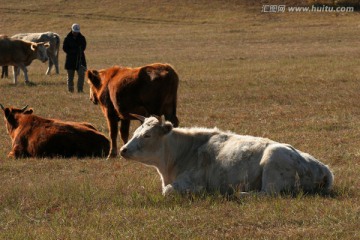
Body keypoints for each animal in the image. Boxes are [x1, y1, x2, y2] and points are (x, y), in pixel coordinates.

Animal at [121, 115, 334, 196]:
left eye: (147, 135)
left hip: (273, 166)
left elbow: (168, 191)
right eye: (136, 131)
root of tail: (323, 169)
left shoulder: (190, 184)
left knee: (266, 194)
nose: (123, 150)